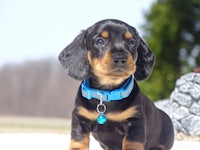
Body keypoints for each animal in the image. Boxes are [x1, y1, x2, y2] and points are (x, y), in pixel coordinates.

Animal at [58, 19, 174, 149]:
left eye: (132, 42)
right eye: (99, 41)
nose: (120, 58)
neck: (107, 93)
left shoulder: (136, 122)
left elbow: (132, 143)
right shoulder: (80, 119)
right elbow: (78, 140)